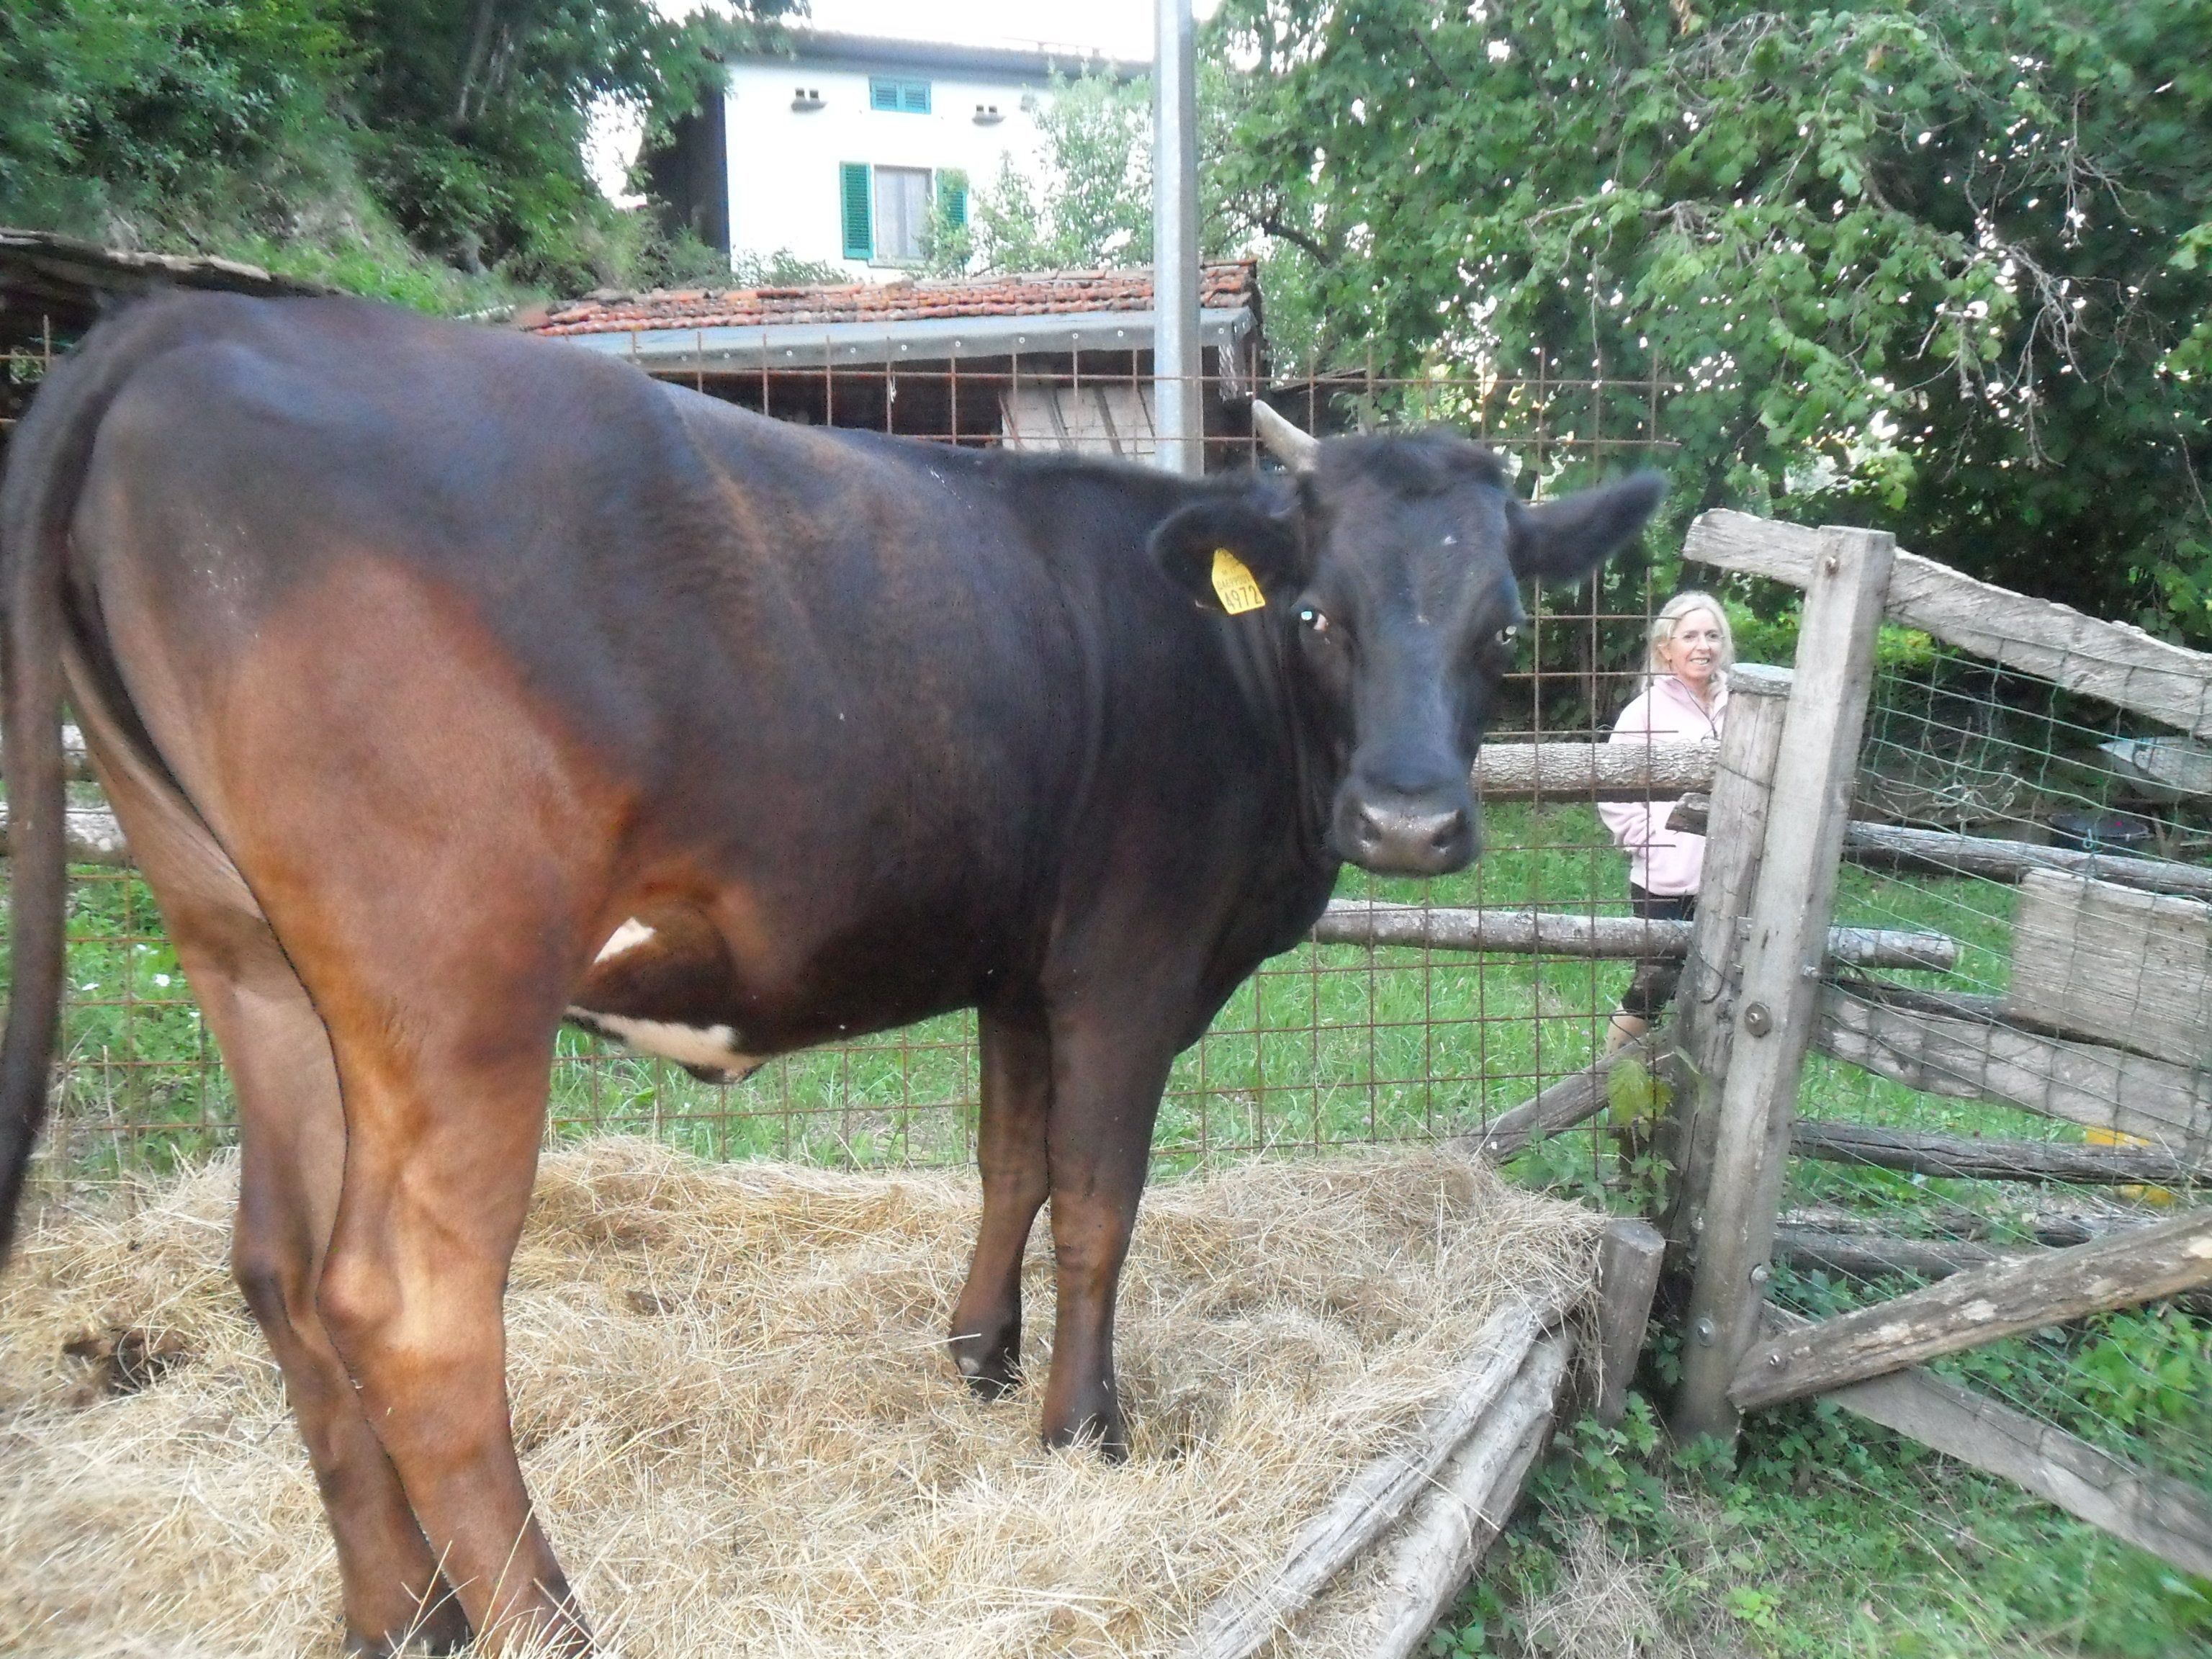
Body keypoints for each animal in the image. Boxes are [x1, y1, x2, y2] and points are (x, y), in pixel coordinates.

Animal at [0, 292, 1661, 1654]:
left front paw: (979, 1358)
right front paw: (1084, 1429)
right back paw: (543, 1621)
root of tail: (188, 324)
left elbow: (1010, 1165)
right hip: (452, 987)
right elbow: (1099, 1201)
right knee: (410, 1312)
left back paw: (399, 1611)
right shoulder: (1127, 959)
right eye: (1320, 611)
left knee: (277, 1267)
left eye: (1502, 624)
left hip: (249, 954)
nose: (1411, 819)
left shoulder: (1016, 962)